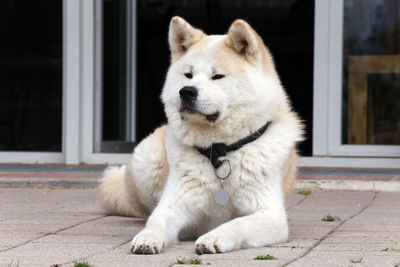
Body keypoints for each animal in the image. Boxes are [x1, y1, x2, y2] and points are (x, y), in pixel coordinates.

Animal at [97, 16, 304, 255]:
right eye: (188, 75)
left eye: (217, 76)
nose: (186, 92)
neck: (220, 151)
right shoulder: (174, 205)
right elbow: (156, 221)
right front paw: (147, 238)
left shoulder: (270, 215)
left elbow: (238, 223)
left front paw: (215, 236)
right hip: (146, 160)